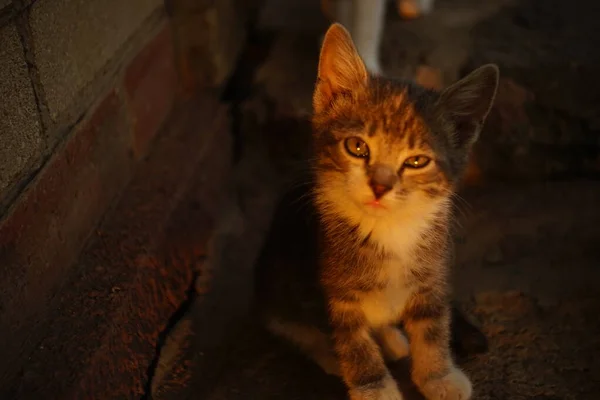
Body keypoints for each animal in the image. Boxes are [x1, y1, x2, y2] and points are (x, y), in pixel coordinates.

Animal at [255, 24, 500, 400]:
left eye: (417, 161)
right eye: (357, 147)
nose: (380, 186)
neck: (388, 229)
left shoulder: (433, 275)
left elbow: (433, 328)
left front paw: (439, 376)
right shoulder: (336, 296)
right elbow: (354, 345)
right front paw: (374, 387)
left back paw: (392, 339)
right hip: (275, 281)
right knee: (295, 327)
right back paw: (332, 354)